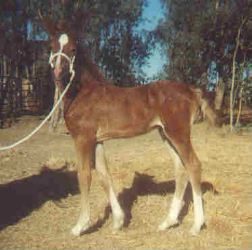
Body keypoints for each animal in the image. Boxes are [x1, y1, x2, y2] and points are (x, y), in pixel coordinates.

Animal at [42, 18, 218, 236]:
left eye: (73, 48)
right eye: (52, 47)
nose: (58, 72)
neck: (82, 93)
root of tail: (192, 91)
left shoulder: (83, 138)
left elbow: (84, 175)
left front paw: (80, 226)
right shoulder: (97, 140)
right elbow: (104, 175)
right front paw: (118, 221)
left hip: (178, 133)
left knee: (193, 165)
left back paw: (196, 225)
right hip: (165, 134)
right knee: (180, 170)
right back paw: (168, 222)